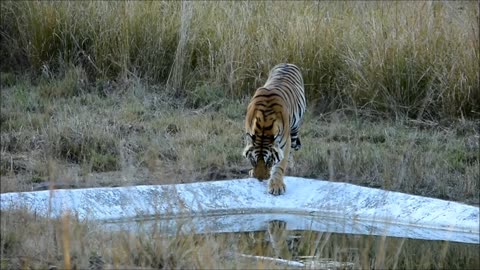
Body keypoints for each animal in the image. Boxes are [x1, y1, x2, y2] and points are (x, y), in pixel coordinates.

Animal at [244, 62, 308, 194]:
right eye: (253, 160)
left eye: (269, 161)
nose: (260, 179)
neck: (264, 124)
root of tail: (287, 63)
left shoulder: (285, 143)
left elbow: (280, 165)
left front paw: (276, 185)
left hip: (295, 130)